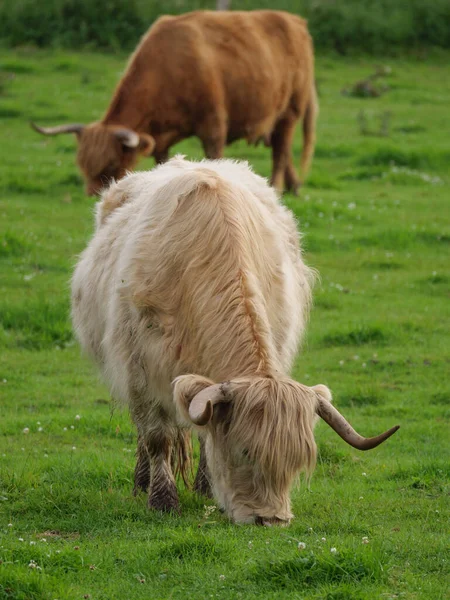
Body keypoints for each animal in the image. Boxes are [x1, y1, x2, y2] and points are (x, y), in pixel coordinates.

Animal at [30, 9, 316, 196]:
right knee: (282, 148)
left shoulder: (213, 126)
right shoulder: (161, 139)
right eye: (82, 165)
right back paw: (294, 186)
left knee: (280, 151)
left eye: (111, 165)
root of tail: (295, 20)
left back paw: (277, 187)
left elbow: (215, 159)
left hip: (290, 112)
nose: (94, 196)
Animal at [72, 157, 400, 524]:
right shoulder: (139, 371)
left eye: (297, 463)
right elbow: (158, 437)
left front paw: (207, 487)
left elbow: (206, 434)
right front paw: (162, 499)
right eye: (245, 451)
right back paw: (142, 482)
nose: (271, 519)